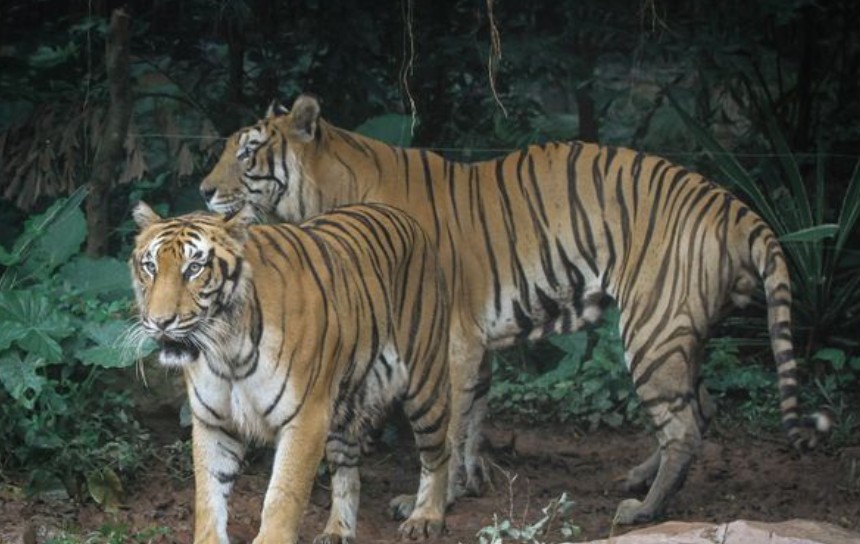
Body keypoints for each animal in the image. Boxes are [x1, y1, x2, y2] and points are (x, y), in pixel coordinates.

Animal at [129, 201, 452, 544]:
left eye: (194, 268)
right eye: (150, 266)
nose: (160, 322)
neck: (227, 350)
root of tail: (398, 212)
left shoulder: (306, 418)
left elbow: (283, 494)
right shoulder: (213, 421)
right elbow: (208, 495)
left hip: (425, 384)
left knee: (439, 452)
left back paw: (425, 517)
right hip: (344, 407)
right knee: (347, 473)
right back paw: (337, 530)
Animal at [198, 94, 828, 525]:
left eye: (248, 152)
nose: (203, 190)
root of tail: (733, 205)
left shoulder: (447, 343)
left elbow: (448, 428)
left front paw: (436, 498)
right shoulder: (475, 344)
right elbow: (473, 419)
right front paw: (471, 483)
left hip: (653, 329)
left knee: (685, 426)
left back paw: (644, 509)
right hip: (681, 335)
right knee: (702, 409)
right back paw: (639, 480)